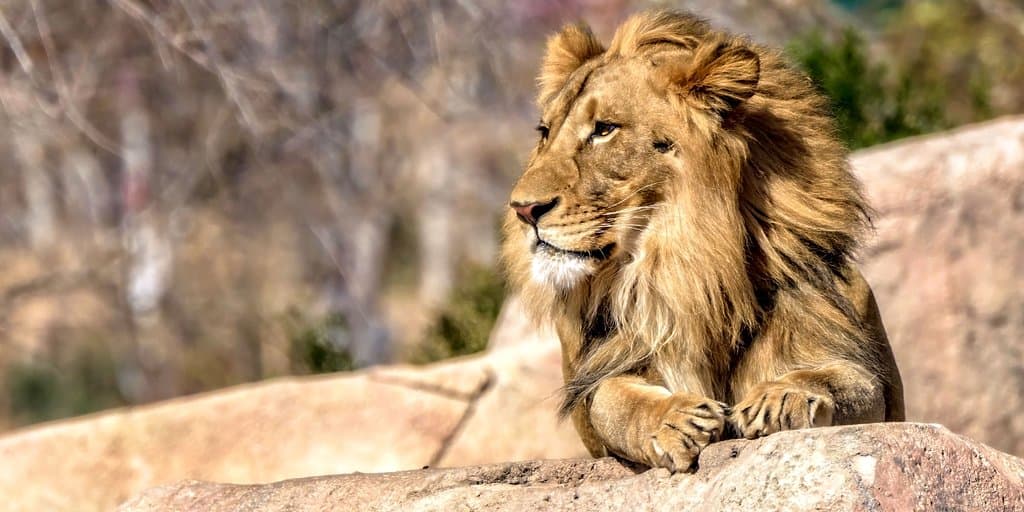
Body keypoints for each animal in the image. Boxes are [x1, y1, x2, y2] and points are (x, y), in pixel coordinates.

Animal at [501, 11, 905, 472]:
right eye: (545, 132)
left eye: (604, 130)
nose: (523, 209)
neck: (691, 266)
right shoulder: (605, 376)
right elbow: (615, 402)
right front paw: (673, 421)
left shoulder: (870, 382)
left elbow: (838, 380)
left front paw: (782, 398)